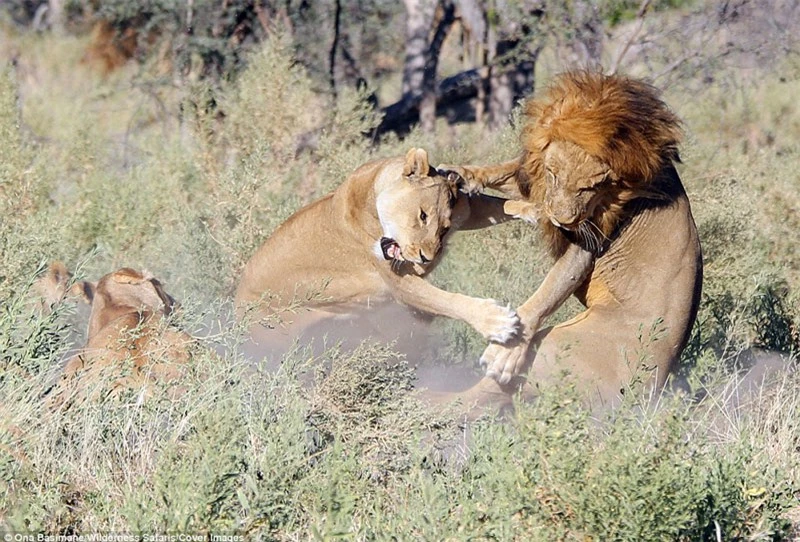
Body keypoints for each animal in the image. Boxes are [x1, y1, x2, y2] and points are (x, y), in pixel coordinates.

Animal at [444, 72, 700, 410]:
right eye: (554, 174)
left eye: (591, 188)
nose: (562, 221)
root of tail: (646, 394)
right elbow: (508, 172)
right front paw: (459, 173)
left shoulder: (590, 239)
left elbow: (548, 292)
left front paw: (507, 349)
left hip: (552, 344)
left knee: (479, 399)